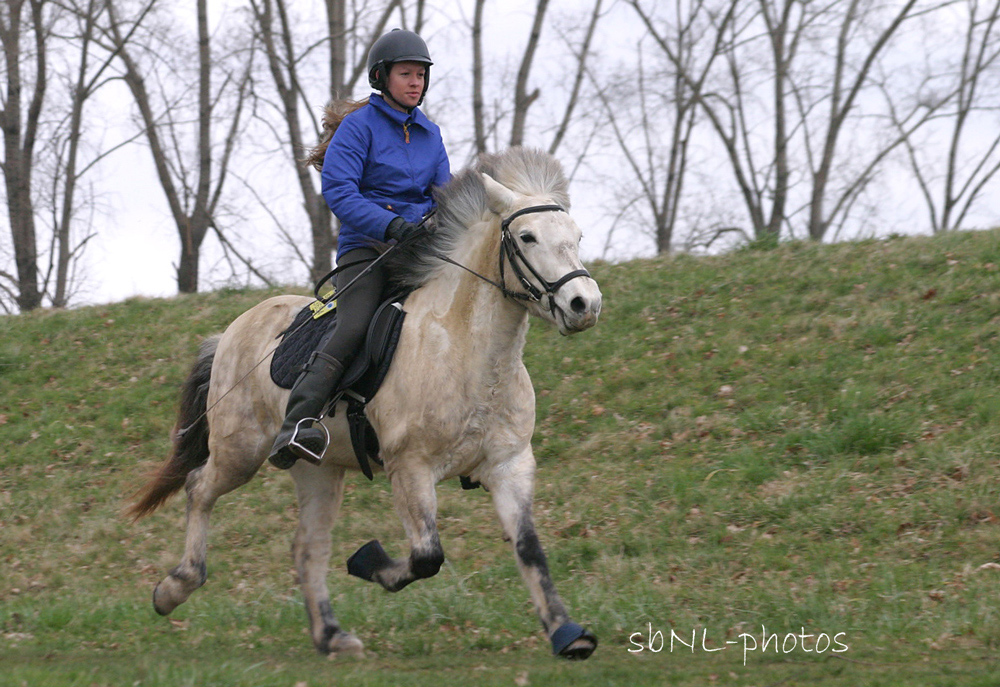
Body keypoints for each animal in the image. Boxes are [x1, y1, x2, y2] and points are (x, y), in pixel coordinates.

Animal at [130, 146, 604, 660]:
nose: (584, 305)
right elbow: (427, 556)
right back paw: (173, 589)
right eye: (526, 236)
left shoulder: (509, 465)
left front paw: (567, 633)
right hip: (240, 450)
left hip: (317, 469)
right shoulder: (409, 468)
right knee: (199, 488)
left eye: (577, 236)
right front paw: (368, 561)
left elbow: (529, 549)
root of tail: (231, 332)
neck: (466, 350)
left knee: (308, 546)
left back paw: (330, 635)